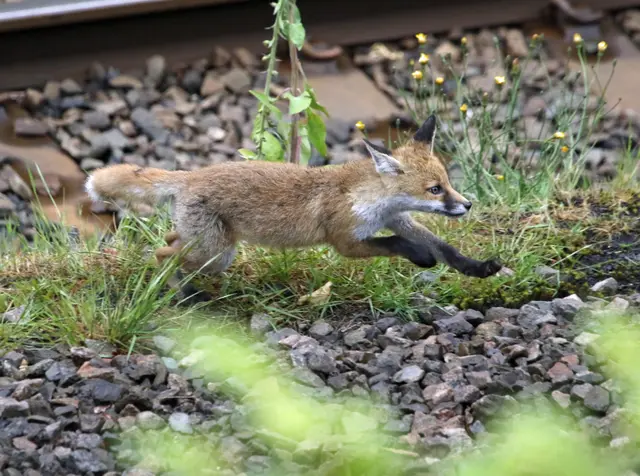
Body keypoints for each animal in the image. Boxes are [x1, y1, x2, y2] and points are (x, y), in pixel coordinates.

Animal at [85, 114, 503, 290]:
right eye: (434, 189)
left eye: (447, 183)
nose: (466, 205)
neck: (369, 200)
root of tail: (191, 175)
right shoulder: (345, 240)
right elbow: (397, 245)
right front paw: (421, 258)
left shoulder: (396, 219)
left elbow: (444, 247)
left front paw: (478, 268)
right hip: (216, 252)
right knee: (161, 253)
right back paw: (176, 293)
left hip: (209, 248)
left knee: (169, 242)